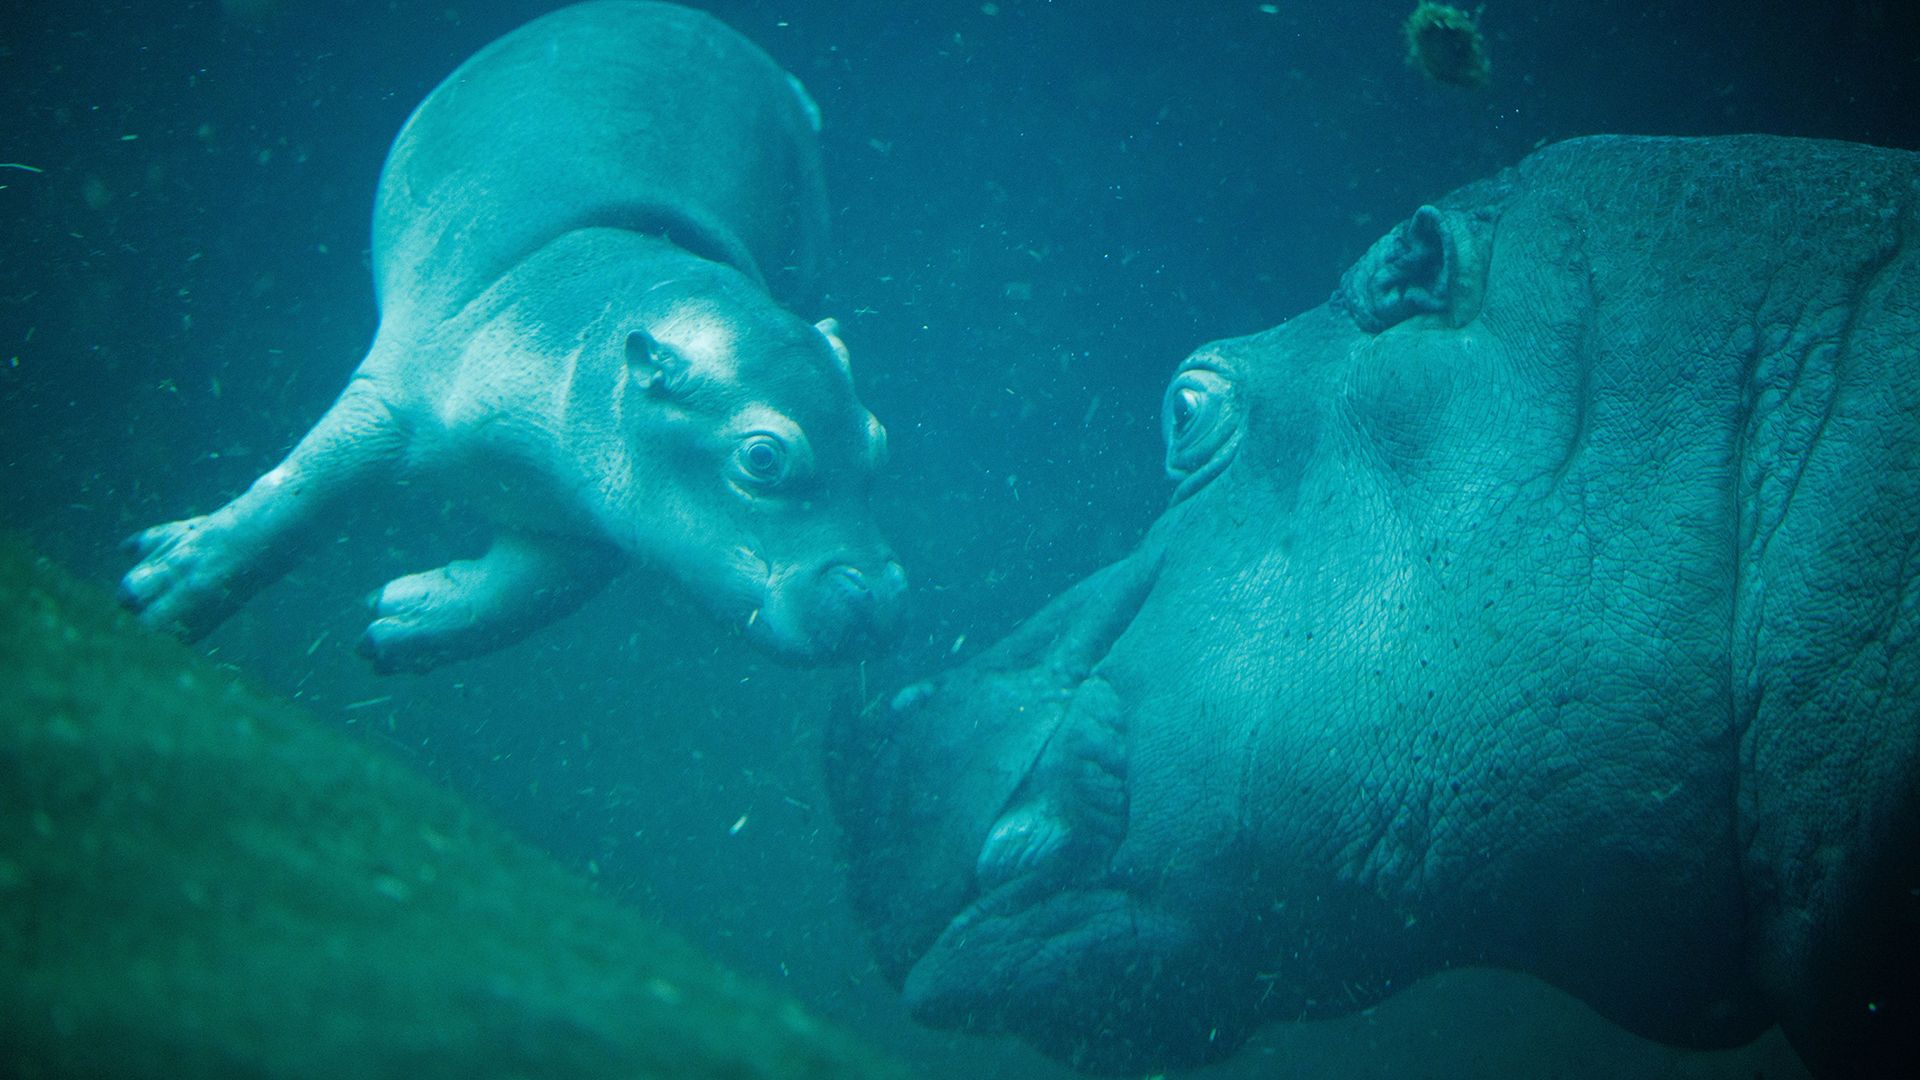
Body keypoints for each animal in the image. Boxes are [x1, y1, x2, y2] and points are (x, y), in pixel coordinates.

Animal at [121, 1, 904, 671]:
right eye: (763, 458)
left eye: (879, 441)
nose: (881, 599)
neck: (609, 301)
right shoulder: (392, 394)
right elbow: (301, 494)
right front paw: (158, 592)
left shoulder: (586, 518)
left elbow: (533, 594)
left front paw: (398, 624)